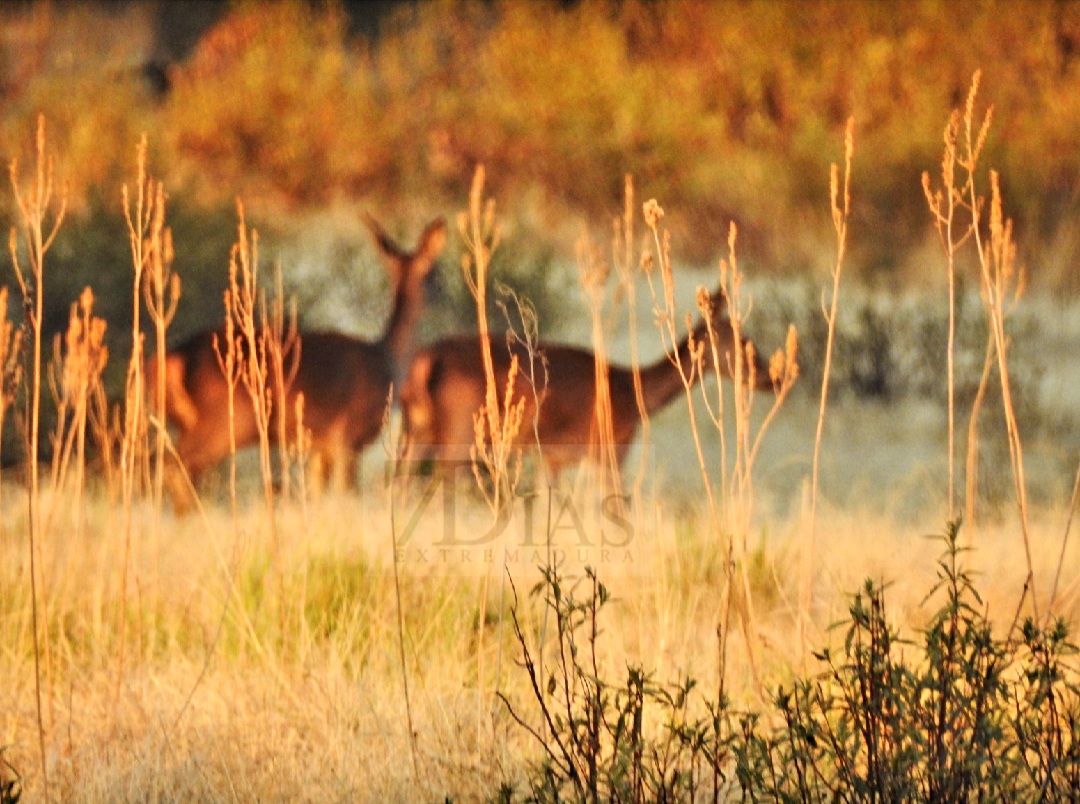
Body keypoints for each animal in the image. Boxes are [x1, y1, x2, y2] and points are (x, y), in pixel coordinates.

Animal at [147, 213, 447, 501]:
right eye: (434, 273)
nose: (442, 292)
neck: (386, 359)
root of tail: (172, 358)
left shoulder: (319, 446)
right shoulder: (348, 437)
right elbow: (347, 495)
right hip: (225, 421)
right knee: (173, 468)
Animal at [401, 289, 773, 484]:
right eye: (742, 340)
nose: (772, 376)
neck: (634, 395)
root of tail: (422, 364)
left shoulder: (553, 457)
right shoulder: (610, 450)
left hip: (417, 431)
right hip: (460, 433)